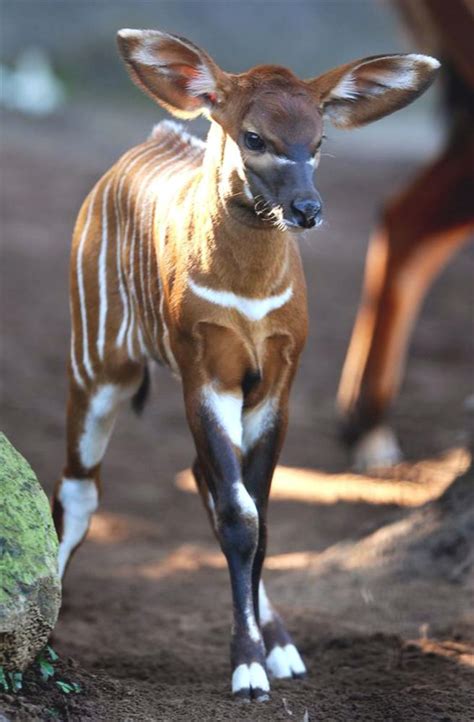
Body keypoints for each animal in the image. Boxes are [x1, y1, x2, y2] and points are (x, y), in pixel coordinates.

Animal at [52, 31, 440, 700]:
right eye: (255, 137)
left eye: (319, 140)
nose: (308, 210)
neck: (250, 292)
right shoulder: (205, 374)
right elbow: (241, 517)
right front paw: (247, 670)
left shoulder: (274, 385)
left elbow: (257, 519)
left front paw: (273, 654)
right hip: (98, 365)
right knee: (80, 487)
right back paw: (45, 624)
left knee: (203, 481)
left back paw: (280, 642)